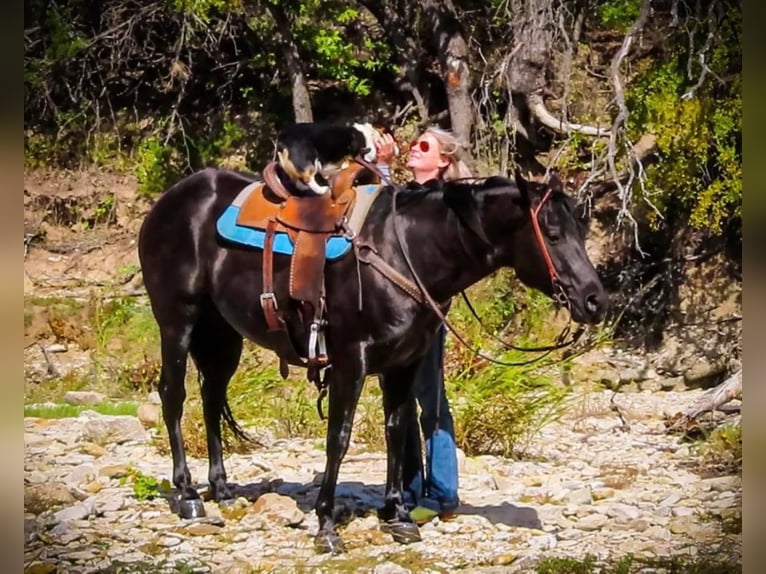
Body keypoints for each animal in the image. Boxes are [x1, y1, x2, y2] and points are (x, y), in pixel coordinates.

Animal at [136, 169, 608, 556]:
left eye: (579, 231)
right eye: (552, 233)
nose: (595, 300)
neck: (405, 251)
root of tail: (169, 200)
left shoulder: (403, 364)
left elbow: (397, 432)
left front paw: (398, 515)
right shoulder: (351, 361)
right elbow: (339, 439)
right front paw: (326, 525)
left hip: (222, 334)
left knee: (211, 398)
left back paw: (221, 489)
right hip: (178, 321)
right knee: (174, 397)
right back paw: (188, 495)